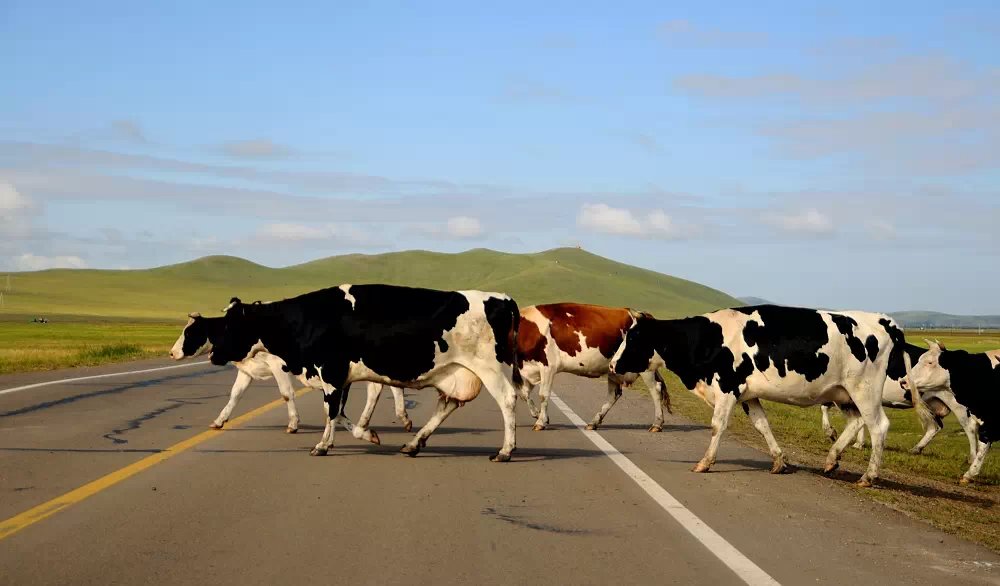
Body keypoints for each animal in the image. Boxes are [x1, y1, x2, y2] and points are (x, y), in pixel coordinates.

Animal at [170, 314, 412, 434]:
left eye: (189, 332)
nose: (171, 353)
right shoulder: (247, 370)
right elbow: (235, 395)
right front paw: (219, 421)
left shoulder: (278, 366)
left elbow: (286, 394)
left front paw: (293, 424)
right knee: (383, 387)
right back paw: (392, 419)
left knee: (383, 387)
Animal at [209, 284, 524, 460]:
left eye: (230, 325)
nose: (212, 354)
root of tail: (503, 298)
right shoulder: (341, 377)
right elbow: (339, 413)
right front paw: (365, 435)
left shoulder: (331, 372)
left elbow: (331, 411)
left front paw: (322, 446)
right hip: (456, 373)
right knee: (446, 405)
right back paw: (413, 444)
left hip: (491, 369)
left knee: (507, 401)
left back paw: (505, 451)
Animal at [516, 304, 672, 432]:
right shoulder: (528, 368)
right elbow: (523, 393)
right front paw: (537, 414)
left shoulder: (548, 366)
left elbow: (543, 394)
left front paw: (540, 422)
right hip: (614, 370)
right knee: (614, 394)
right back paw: (594, 422)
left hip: (645, 369)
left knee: (656, 390)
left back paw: (657, 424)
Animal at [604, 304, 916, 486]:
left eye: (633, 338)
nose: (612, 364)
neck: (706, 339)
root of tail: (884, 320)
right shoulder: (747, 394)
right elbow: (762, 425)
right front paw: (779, 461)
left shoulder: (726, 387)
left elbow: (717, 426)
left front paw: (705, 463)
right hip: (843, 393)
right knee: (856, 422)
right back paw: (831, 460)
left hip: (864, 389)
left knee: (878, 426)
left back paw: (868, 476)